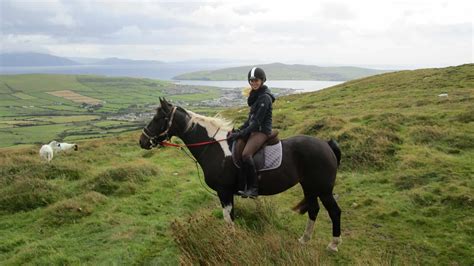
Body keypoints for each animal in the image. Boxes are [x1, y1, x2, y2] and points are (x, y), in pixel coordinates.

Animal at [139, 98, 342, 251]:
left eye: (159, 118)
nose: (142, 141)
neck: (213, 147)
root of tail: (326, 144)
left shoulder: (224, 192)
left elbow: (228, 219)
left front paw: (230, 243)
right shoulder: (227, 193)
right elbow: (231, 218)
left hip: (323, 189)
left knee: (334, 211)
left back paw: (333, 244)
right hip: (309, 187)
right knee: (314, 210)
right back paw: (304, 239)